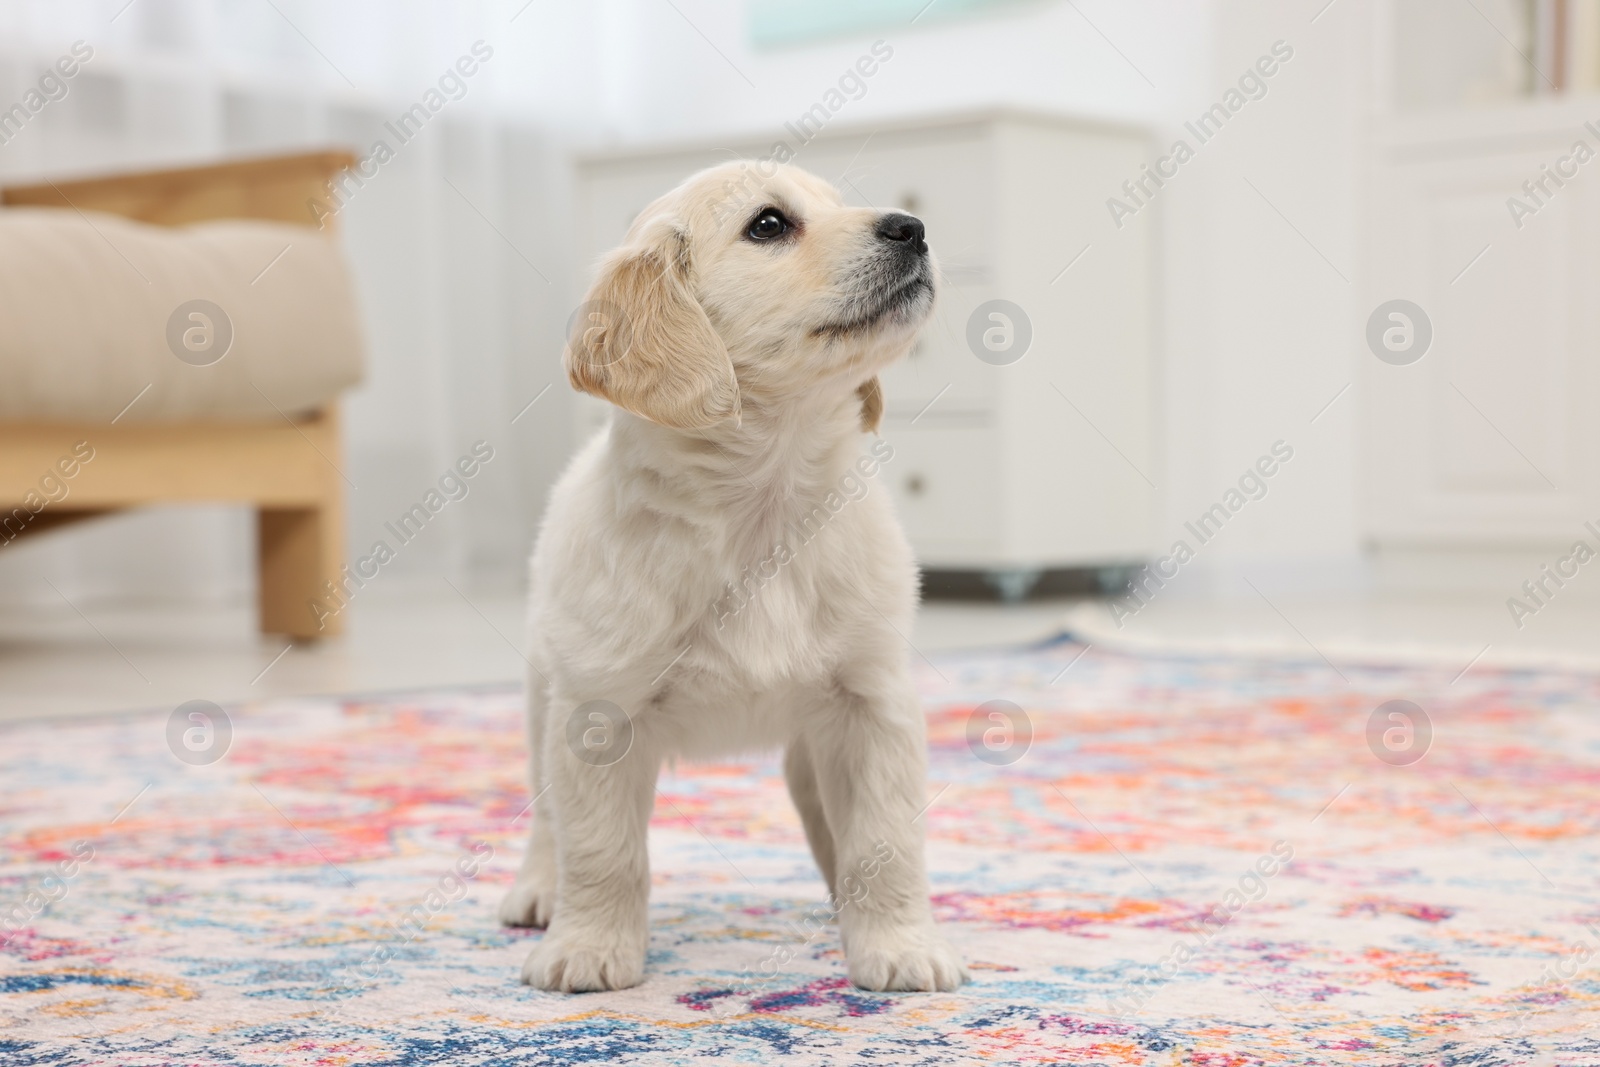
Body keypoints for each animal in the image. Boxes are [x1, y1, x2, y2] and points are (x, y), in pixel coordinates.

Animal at [499, 158, 966, 991]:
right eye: (769, 225)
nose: (911, 227)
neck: (764, 507)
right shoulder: (596, 712)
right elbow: (602, 847)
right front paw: (590, 944)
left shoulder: (873, 701)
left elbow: (883, 841)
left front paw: (900, 945)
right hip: (541, 695)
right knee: (548, 815)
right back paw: (540, 889)